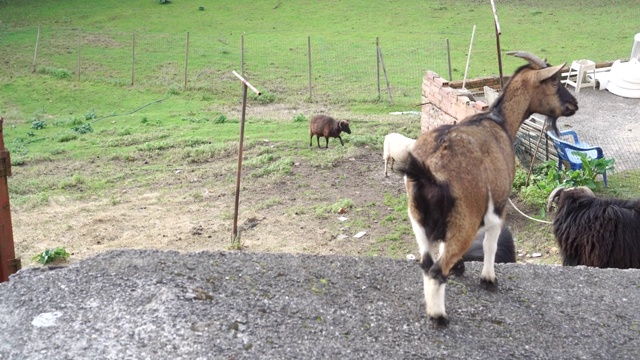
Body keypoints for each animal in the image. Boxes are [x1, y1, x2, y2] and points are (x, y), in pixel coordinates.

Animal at [402, 51, 576, 326]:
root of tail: (428, 169)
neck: (500, 122)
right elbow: (489, 245)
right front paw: (489, 280)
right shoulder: (498, 207)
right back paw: (439, 317)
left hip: (418, 220)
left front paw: (460, 268)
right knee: (436, 270)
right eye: (556, 81)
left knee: (428, 263)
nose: (574, 104)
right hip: (465, 218)